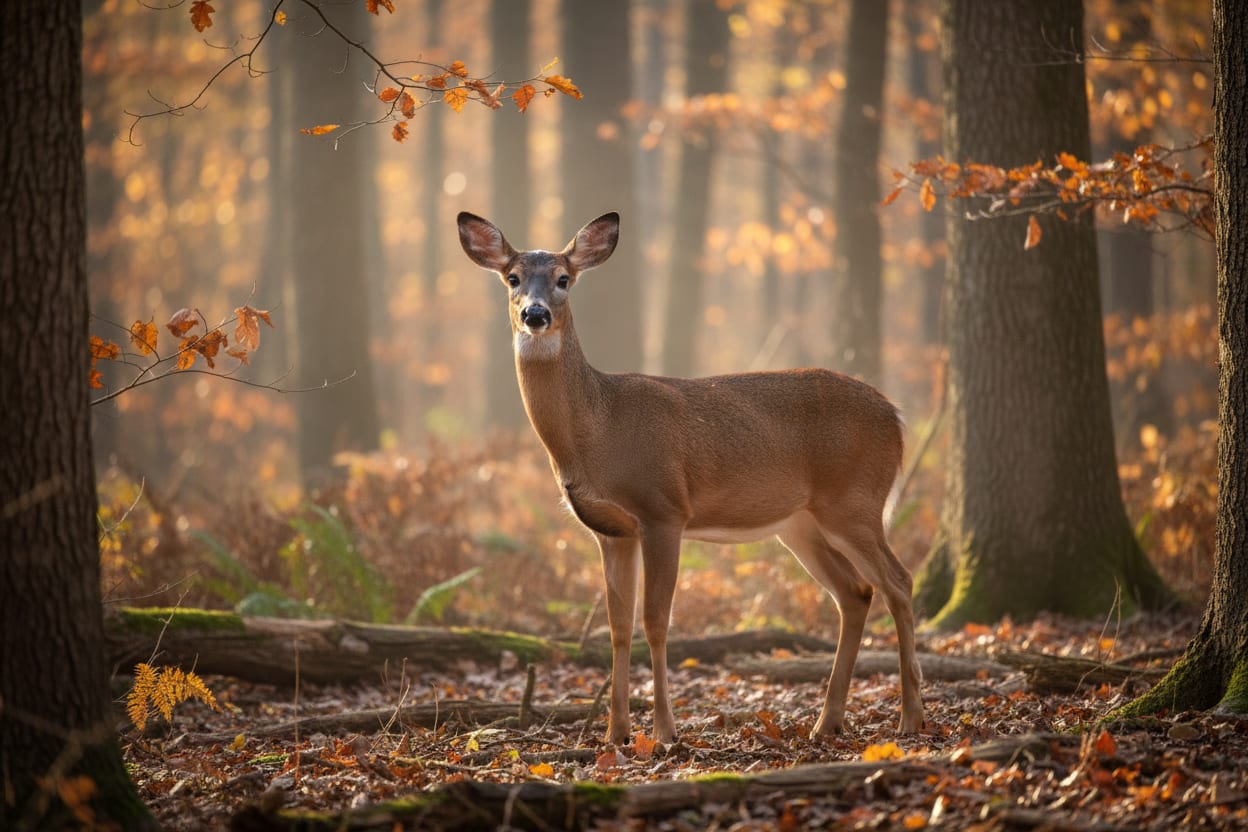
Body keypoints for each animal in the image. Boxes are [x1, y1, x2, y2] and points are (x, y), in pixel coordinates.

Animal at [457, 210, 924, 745]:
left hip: (854, 500)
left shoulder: (664, 509)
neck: (597, 428)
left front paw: (663, 731)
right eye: (512, 278)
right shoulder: (611, 530)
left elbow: (657, 621)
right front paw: (614, 734)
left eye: (563, 279)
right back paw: (827, 722)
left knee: (899, 581)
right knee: (856, 592)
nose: (535, 315)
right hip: (800, 524)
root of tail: (897, 416)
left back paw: (911, 717)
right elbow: (618, 626)